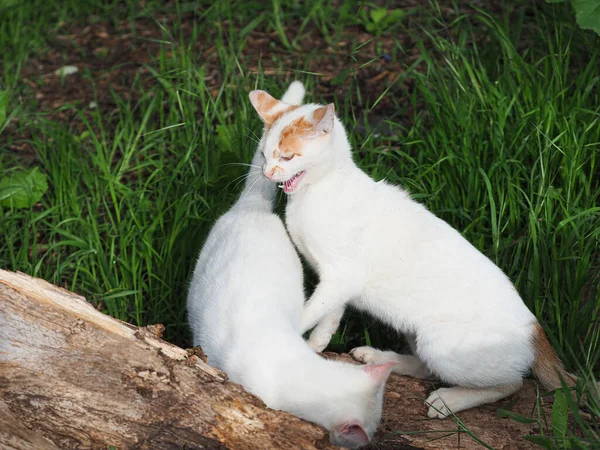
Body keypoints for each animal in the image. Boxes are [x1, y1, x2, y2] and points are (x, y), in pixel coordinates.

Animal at [247, 83, 576, 418]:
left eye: (287, 156)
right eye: (263, 154)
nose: (268, 173)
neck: (313, 194)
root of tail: (535, 327)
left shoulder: (341, 275)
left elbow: (311, 311)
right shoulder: (338, 281)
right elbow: (330, 313)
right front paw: (316, 345)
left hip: (440, 344)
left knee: (509, 385)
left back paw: (447, 400)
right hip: (415, 334)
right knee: (428, 368)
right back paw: (380, 358)